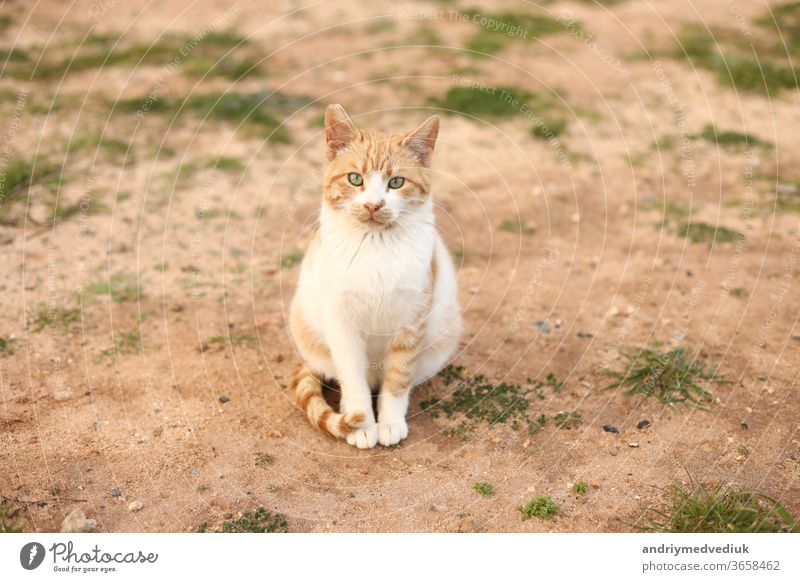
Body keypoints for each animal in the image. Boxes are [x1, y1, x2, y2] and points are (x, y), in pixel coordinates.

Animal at [288, 106, 462, 452]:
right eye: (355, 179)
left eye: (396, 182)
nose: (372, 204)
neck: (375, 245)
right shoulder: (341, 322)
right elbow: (353, 378)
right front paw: (362, 423)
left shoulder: (412, 319)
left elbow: (398, 379)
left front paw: (390, 422)